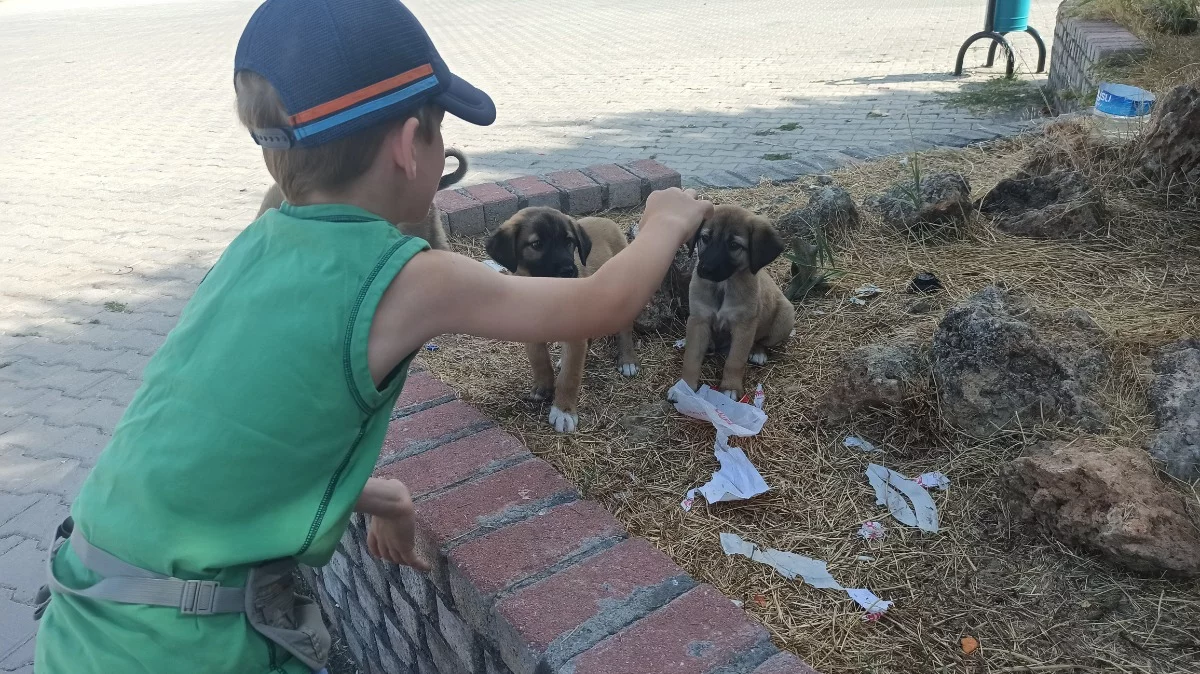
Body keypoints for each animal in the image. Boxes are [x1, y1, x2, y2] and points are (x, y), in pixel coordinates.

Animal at [484, 205, 643, 431]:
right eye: (537, 244)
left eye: (569, 242)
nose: (569, 271)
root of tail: (608, 221)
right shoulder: (531, 330)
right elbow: (539, 359)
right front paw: (543, 386)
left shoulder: (574, 337)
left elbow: (569, 377)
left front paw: (564, 411)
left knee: (625, 330)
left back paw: (627, 360)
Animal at [681, 201, 792, 395]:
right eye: (705, 238)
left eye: (733, 245)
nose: (706, 269)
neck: (723, 286)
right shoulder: (698, 319)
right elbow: (691, 357)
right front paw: (685, 386)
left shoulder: (744, 326)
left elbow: (735, 360)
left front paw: (730, 387)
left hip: (785, 316)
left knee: (761, 340)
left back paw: (758, 352)